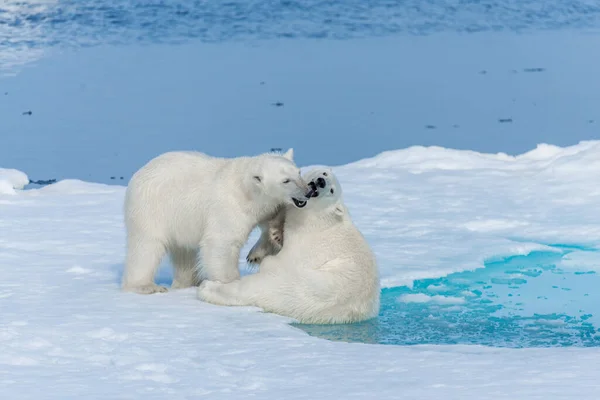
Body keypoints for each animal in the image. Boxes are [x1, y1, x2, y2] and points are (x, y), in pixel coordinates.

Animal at [122, 148, 310, 296]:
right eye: (286, 180)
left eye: (299, 173)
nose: (308, 191)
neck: (247, 192)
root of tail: (138, 174)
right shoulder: (228, 207)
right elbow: (221, 242)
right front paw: (230, 282)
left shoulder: (267, 207)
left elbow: (272, 221)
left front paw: (264, 248)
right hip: (152, 210)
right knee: (146, 247)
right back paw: (145, 286)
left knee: (184, 253)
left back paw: (186, 282)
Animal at [197, 167, 380, 324]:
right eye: (324, 173)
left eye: (332, 190)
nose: (321, 182)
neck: (321, 218)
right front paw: (260, 250)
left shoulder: (308, 241)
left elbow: (283, 258)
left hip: (294, 285)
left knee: (254, 287)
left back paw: (208, 288)